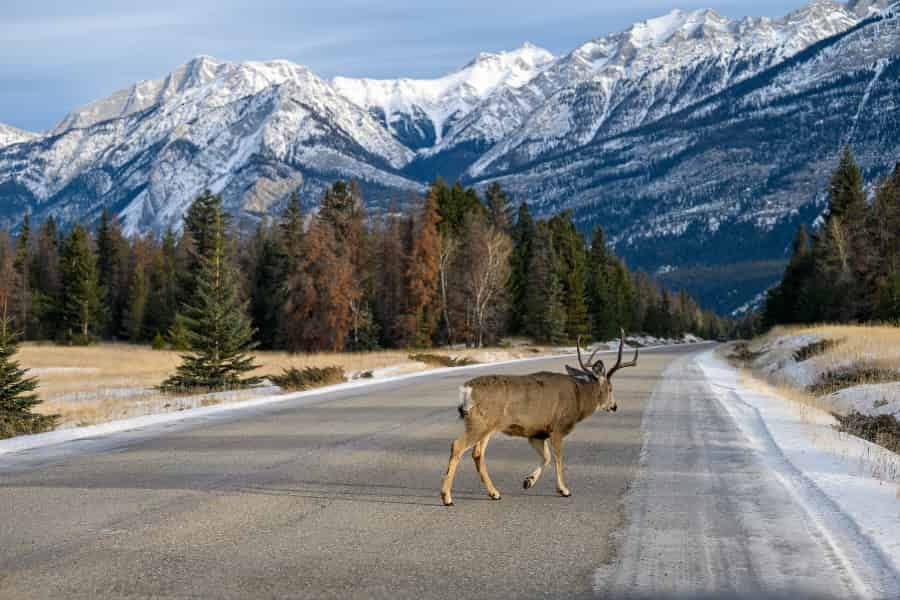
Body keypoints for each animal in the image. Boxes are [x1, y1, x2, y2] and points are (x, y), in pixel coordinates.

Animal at [440, 329, 638, 506]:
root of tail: (466, 389)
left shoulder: (536, 433)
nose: (614, 406)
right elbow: (558, 459)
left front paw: (528, 481)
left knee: (477, 454)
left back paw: (494, 493)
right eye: (610, 388)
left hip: (487, 426)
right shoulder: (558, 427)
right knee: (457, 446)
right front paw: (564, 489)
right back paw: (447, 497)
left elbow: (546, 457)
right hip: (479, 422)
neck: (579, 399)